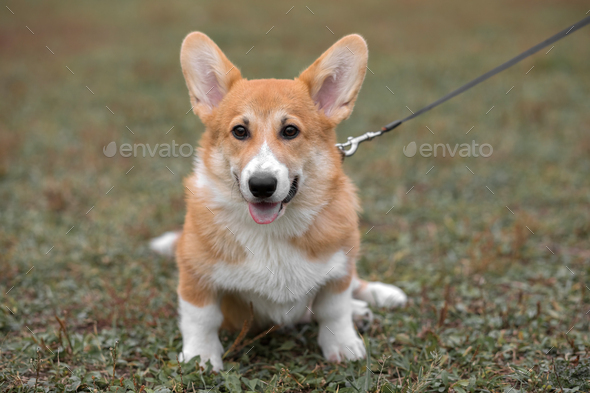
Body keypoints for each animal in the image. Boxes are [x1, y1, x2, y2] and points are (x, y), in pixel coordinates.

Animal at [150, 31, 408, 370]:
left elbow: (334, 310)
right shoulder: (195, 273)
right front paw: (200, 358)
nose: (261, 185)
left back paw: (377, 298)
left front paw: (343, 345)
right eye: (239, 131)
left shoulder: (339, 266)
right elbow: (201, 318)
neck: (271, 232)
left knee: (354, 285)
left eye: (290, 131)